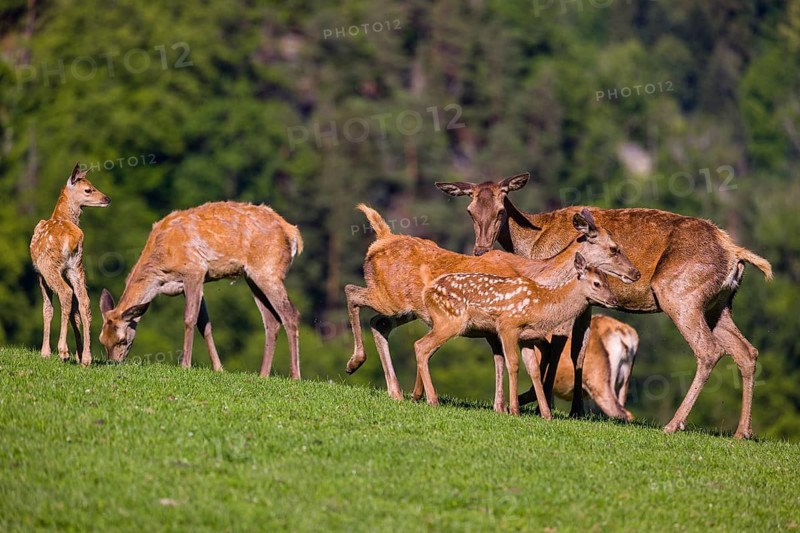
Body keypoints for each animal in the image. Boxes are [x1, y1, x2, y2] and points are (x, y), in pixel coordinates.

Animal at [30, 162, 111, 366]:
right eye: (88, 189)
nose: (107, 198)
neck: (61, 216)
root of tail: (73, 238)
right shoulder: (68, 270)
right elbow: (75, 311)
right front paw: (80, 353)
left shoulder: (40, 273)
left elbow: (47, 309)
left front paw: (45, 352)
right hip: (77, 267)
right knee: (84, 301)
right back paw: (86, 358)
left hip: (50, 267)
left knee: (65, 294)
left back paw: (63, 351)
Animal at [98, 201, 303, 378]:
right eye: (102, 340)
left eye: (122, 339)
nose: (114, 363)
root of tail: (293, 234)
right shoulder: (186, 284)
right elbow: (204, 324)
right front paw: (218, 368)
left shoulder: (194, 270)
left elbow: (190, 319)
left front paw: (185, 365)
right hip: (252, 277)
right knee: (272, 321)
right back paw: (263, 375)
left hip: (268, 270)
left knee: (290, 314)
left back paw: (294, 376)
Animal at [415, 253, 619, 416]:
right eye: (596, 283)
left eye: (608, 281)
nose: (614, 300)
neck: (541, 305)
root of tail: (428, 287)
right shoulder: (508, 326)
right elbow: (513, 364)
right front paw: (513, 410)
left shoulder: (526, 338)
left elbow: (533, 369)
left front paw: (546, 414)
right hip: (451, 320)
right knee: (421, 346)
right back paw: (432, 400)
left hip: (441, 322)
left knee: (424, 348)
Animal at [436, 172, 773, 438]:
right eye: (470, 210)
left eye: (500, 210)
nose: (480, 250)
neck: (533, 243)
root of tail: (735, 253)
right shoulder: (586, 300)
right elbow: (579, 349)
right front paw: (575, 410)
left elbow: (558, 345)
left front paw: (538, 399)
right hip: (719, 304)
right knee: (747, 352)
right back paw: (742, 432)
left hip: (680, 295)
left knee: (708, 350)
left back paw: (673, 424)